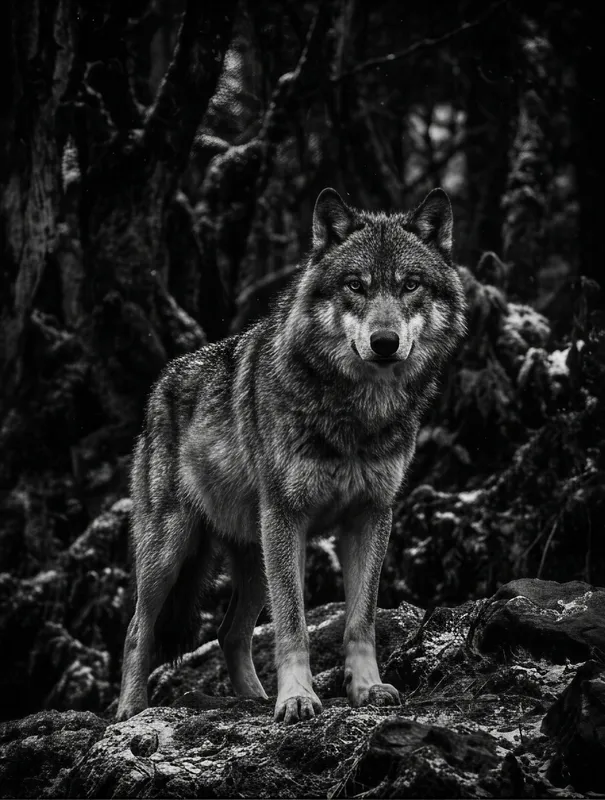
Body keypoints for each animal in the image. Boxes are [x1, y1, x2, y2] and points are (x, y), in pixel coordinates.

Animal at [116, 187, 467, 724]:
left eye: (410, 285)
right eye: (355, 285)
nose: (385, 342)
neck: (357, 415)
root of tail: (162, 382)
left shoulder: (370, 515)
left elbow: (360, 620)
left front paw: (368, 689)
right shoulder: (287, 515)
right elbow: (293, 624)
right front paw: (298, 698)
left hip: (254, 557)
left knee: (229, 633)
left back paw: (252, 698)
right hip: (174, 550)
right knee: (139, 630)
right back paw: (132, 711)